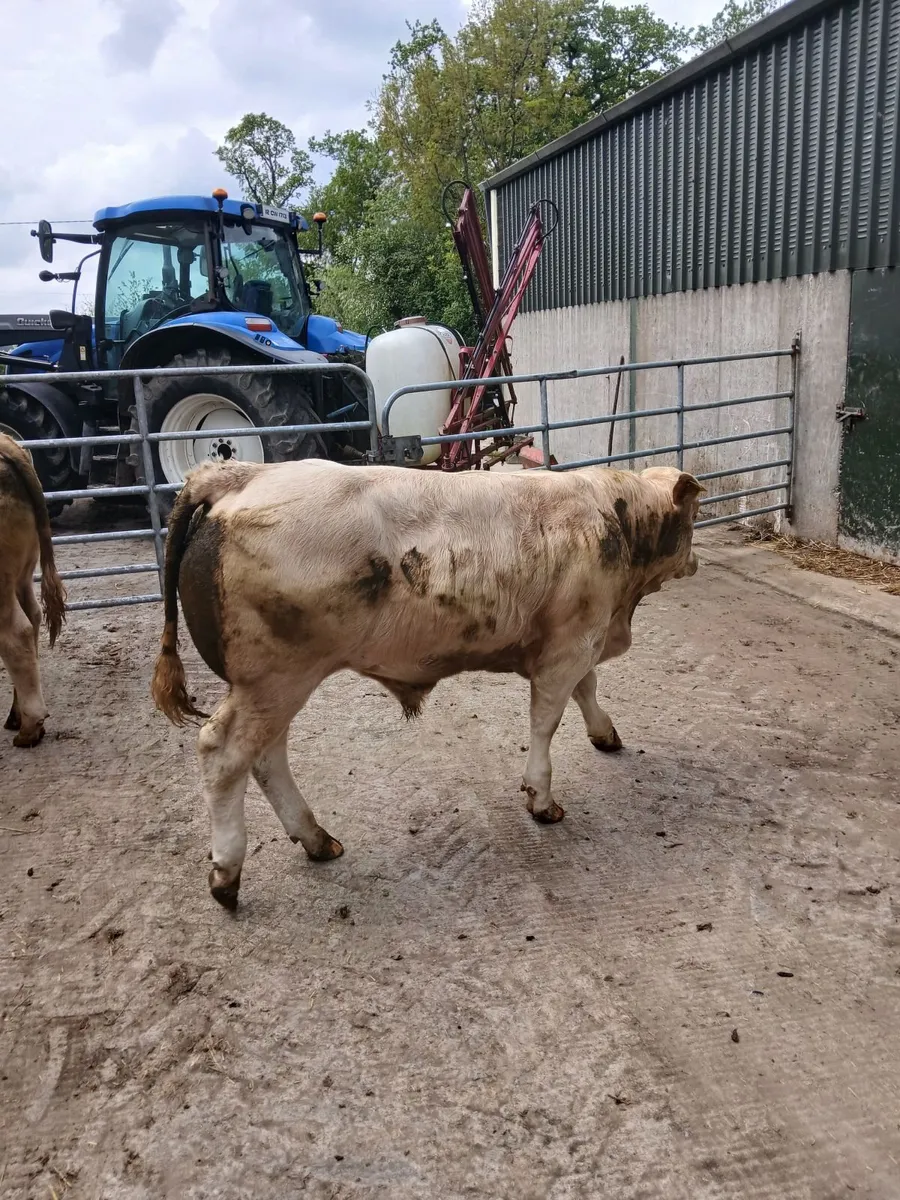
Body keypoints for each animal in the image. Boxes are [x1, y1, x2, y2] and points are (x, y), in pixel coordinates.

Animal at [151, 458, 704, 909]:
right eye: (695, 514)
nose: (696, 561)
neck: (615, 520)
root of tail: (240, 474)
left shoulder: (577, 641)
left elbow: (587, 690)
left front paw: (605, 734)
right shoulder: (567, 648)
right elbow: (547, 721)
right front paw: (541, 800)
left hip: (275, 686)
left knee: (266, 758)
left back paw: (316, 839)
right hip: (275, 679)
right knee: (224, 754)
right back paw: (227, 875)